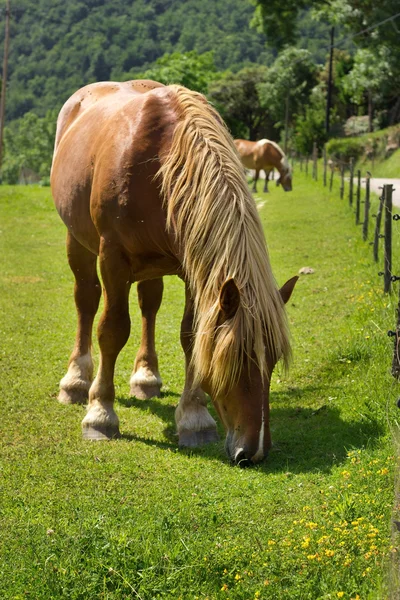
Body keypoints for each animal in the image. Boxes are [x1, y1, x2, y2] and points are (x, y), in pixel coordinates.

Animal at [50, 78, 296, 464]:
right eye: (236, 359)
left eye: (271, 360)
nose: (253, 451)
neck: (160, 164)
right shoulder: (112, 259)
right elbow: (112, 330)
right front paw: (100, 414)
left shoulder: (194, 268)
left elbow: (191, 335)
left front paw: (194, 417)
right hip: (77, 241)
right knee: (86, 301)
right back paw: (75, 380)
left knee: (149, 305)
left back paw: (146, 377)